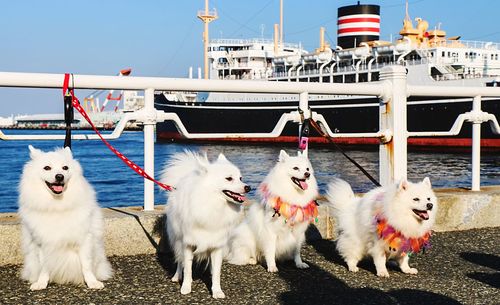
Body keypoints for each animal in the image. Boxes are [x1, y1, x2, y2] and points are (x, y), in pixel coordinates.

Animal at [19, 146, 112, 288]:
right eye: (47, 168)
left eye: (65, 168)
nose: (59, 176)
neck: (57, 204)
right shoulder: (42, 243)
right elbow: (45, 266)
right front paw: (41, 283)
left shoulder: (84, 239)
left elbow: (86, 265)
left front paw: (92, 282)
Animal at [162, 150, 250, 296]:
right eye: (229, 178)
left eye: (241, 178)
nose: (248, 187)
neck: (212, 203)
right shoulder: (188, 243)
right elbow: (188, 269)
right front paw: (186, 287)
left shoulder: (217, 245)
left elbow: (217, 272)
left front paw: (217, 291)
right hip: (177, 238)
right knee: (179, 260)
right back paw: (176, 276)